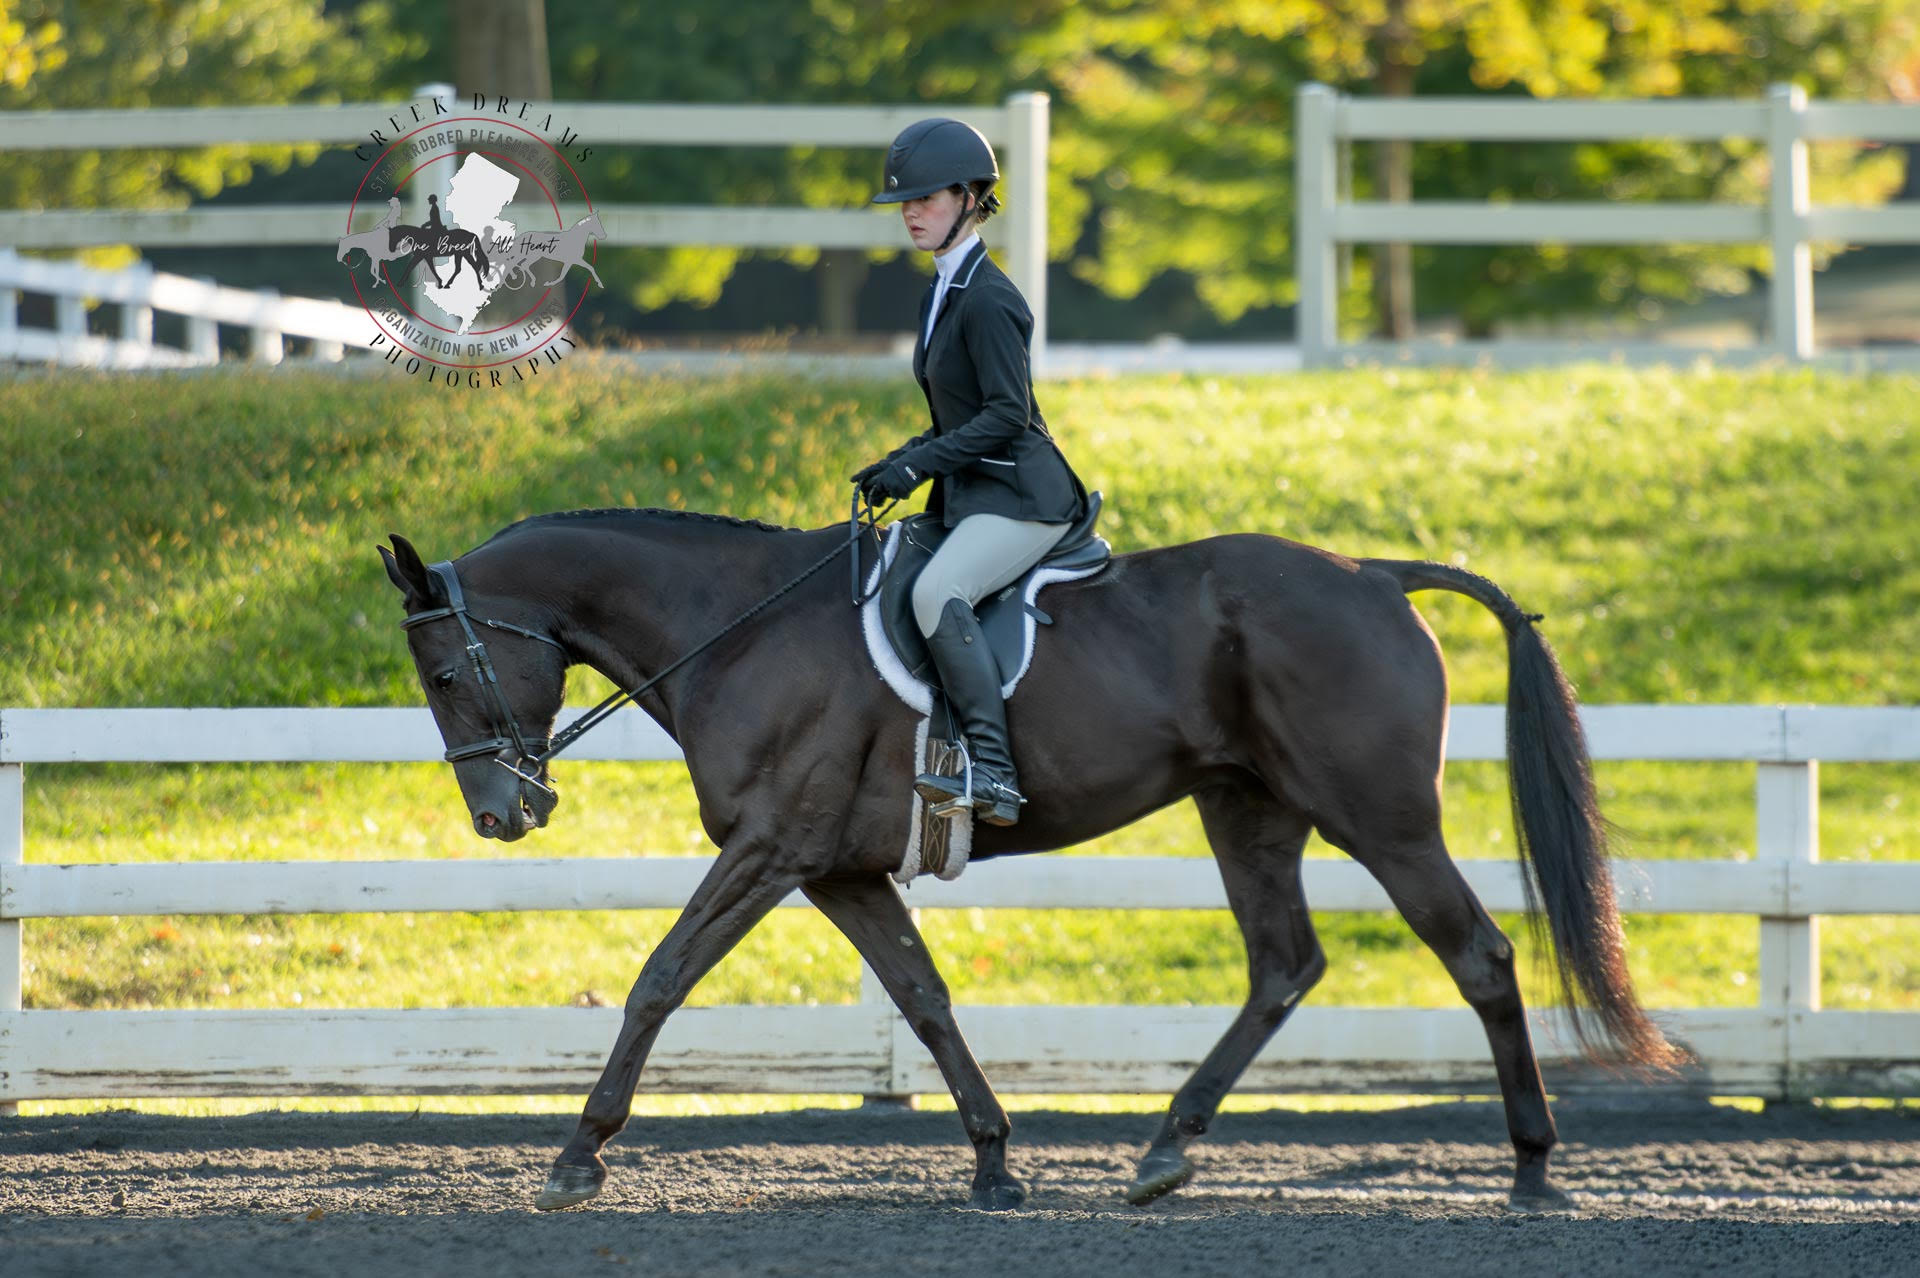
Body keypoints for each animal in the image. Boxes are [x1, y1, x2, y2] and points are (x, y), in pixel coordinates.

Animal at [378, 507, 1681, 1215]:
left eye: (442, 673)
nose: (502, 816)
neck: (736, 628)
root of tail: (1372, 574)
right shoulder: (836, 869)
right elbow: (923, 998)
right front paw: (996, 1161)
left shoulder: (772, 848)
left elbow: (659, 978)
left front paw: (576, 1159)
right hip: (1248, 809)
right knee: (1283, 965)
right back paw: (1164, 1149)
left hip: (1382, 820)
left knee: (1480, 955)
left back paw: (1531, 1168)